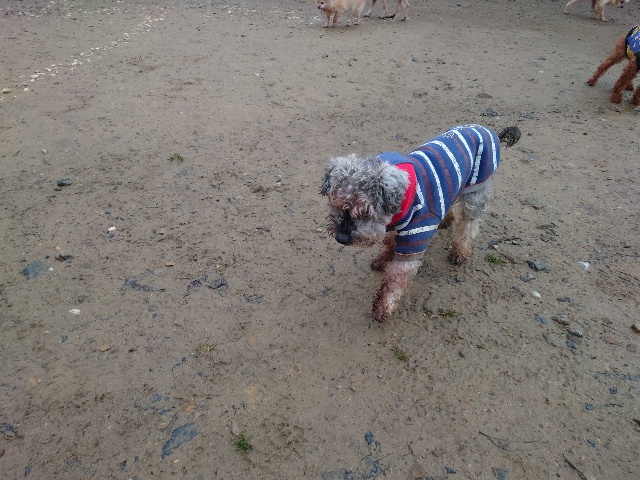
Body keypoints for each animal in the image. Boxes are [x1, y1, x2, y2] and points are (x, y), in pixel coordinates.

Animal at [321, 124, 521, 322]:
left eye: (365, 212)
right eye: (335, 204)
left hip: (476, 191)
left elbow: (396, 279)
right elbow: (389, 241)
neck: (402, 202)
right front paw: (384, 257)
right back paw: (445, 219)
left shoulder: (415, 237)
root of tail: (489, 131)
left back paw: (460, 251)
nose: (341, 238)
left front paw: (384, 306)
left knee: (468, 225)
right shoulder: (395, 224)